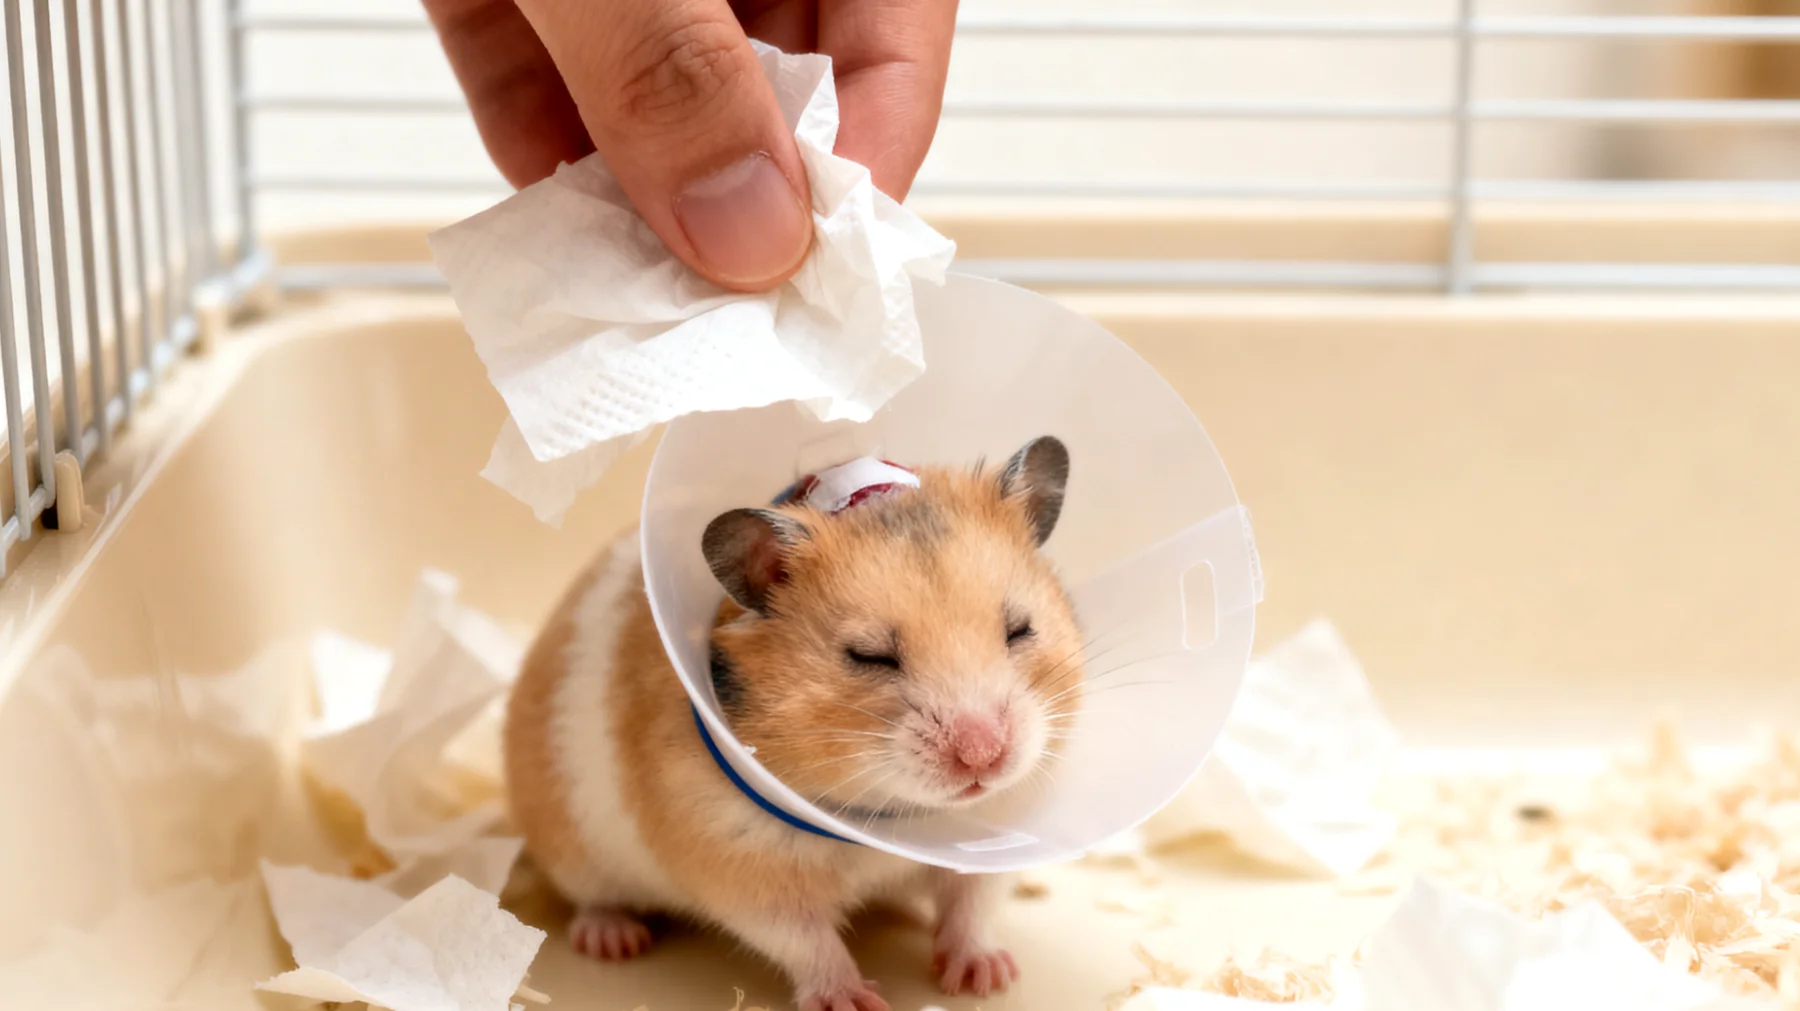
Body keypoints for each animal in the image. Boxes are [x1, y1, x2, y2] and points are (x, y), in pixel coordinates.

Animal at [503, 436, 1082, 1011]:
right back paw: (614, 940)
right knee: (591, 901)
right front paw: (853, 1002)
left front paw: (989, 977)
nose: (984, 757)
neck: (881, 820)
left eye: (1020, 629)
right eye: (868, 656)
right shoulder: (740, 864)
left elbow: (971, 906)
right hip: (574, 855)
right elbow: (807, 941)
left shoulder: (988, 847)